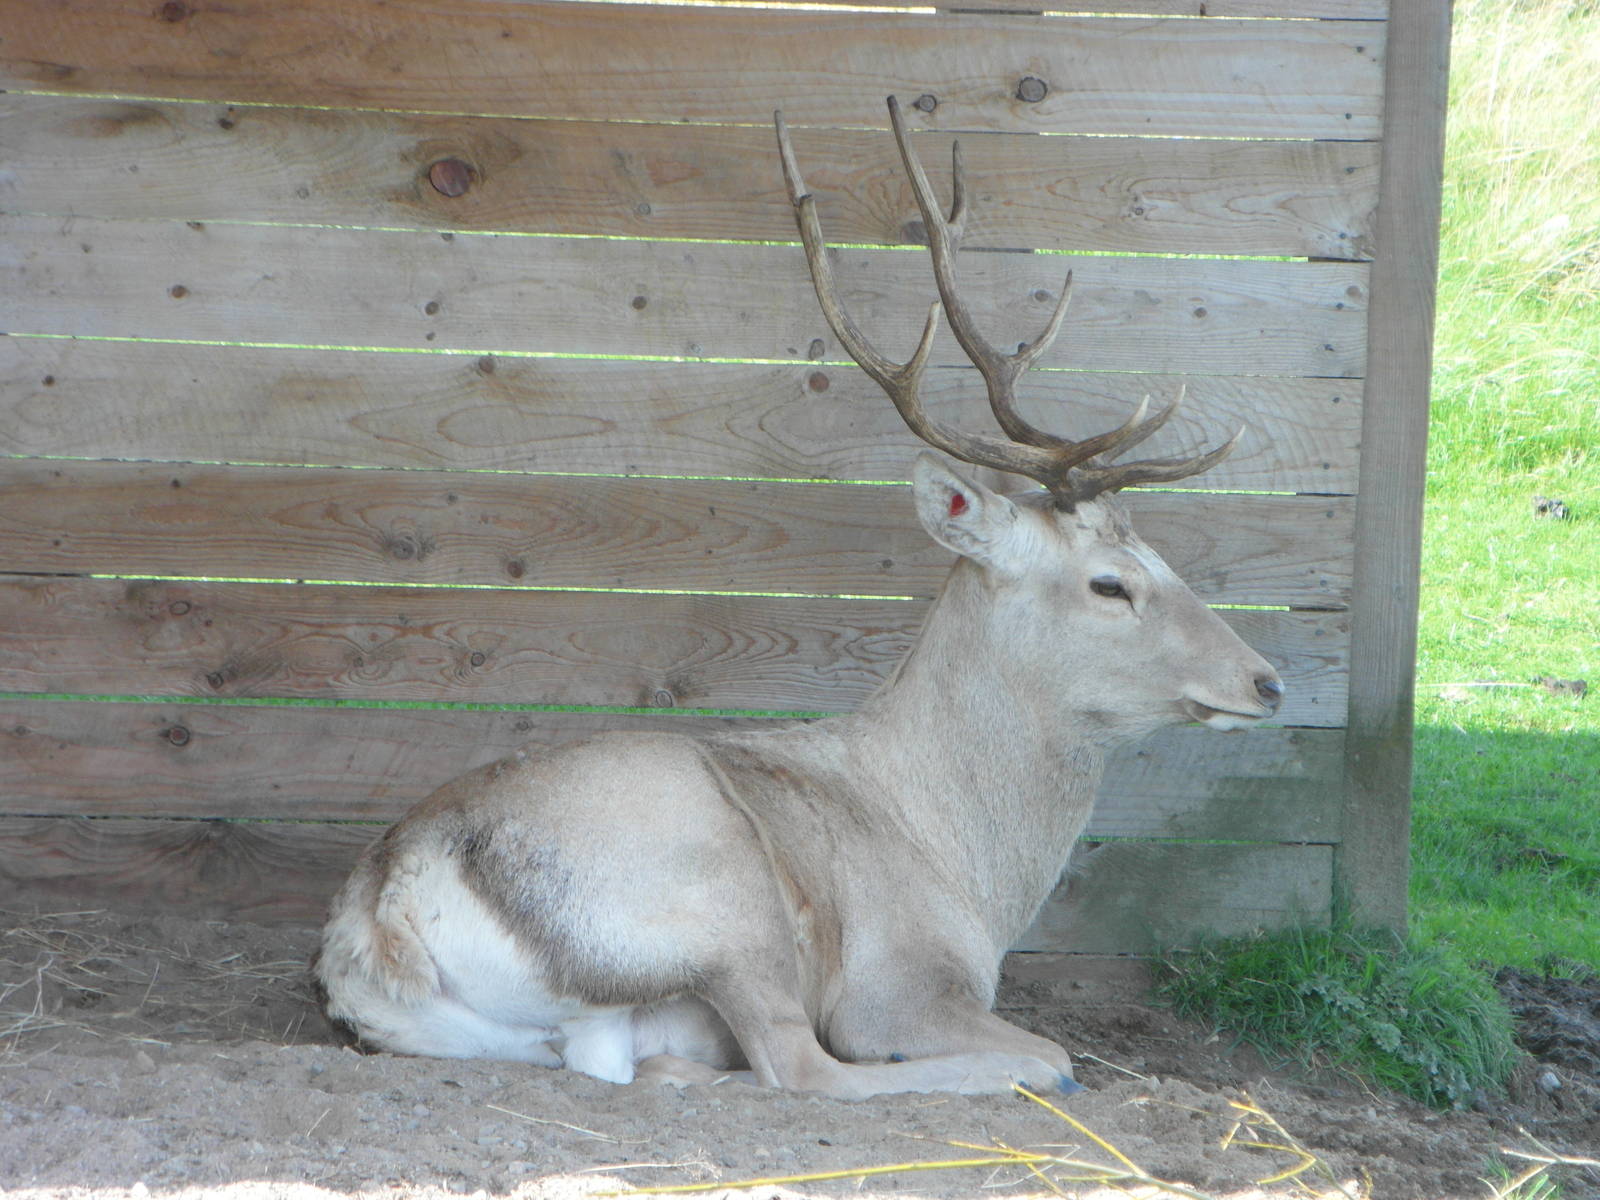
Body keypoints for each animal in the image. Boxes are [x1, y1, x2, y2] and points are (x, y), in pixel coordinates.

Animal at [312, 96, 1284, 1100]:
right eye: (1111, 582)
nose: (1266, 681)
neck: (961, 869)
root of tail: (385, 911)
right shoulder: (897, 983)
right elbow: (1027, 1051)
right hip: (720, 893)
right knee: (806, 1065)